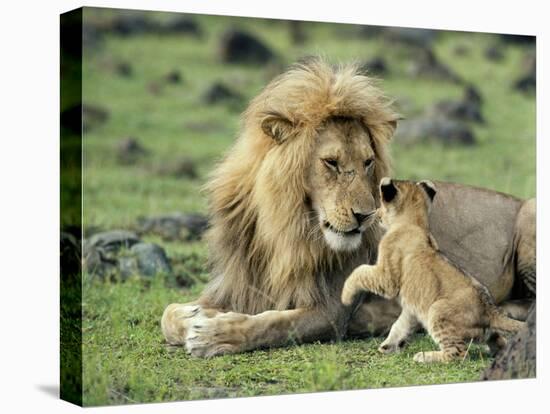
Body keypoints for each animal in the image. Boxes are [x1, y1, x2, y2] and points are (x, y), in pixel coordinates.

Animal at [162, 56, 536, 358]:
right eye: (331, 162)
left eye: (368, 162)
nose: (366, 215)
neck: (283, 229)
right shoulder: (237, 285)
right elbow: (167, 313)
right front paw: (194, 315)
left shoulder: (331, 310)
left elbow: (271, 324)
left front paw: (214, 334)